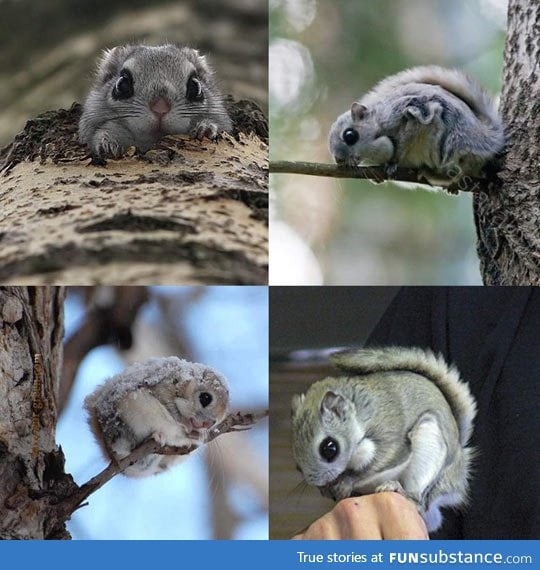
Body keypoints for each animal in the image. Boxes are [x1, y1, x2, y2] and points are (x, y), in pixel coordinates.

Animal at [85, 356, 230, 474]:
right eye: (205, 398)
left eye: (216, 421)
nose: (207, 424)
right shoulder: (163, 388)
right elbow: (172, 409)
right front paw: (185, 423)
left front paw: (200, 435)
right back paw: (155, 436)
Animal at [292, 344, 476, 532]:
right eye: (297, 464)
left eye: (329, 448)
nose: (320, 485)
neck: (357, 414)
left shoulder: (389, 437)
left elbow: (377, 464)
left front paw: (346, 482)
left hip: (430, 447)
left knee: (421, 502)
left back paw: (402, 491)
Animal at [326, 66, 504, 182]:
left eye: (350, 135)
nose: (338, 160)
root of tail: (487, 137)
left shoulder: (400, 117)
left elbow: (402, 144)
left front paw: (392, 164)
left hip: (450, 144)